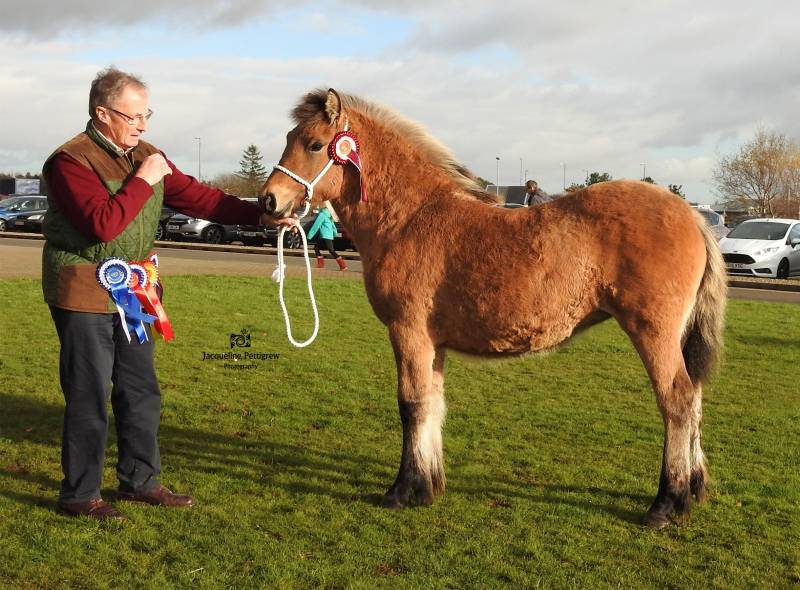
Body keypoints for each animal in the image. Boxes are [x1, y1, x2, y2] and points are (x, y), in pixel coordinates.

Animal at [260, 86, 724, 528]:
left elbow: (411, 405)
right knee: (695, 397)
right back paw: (693, 490)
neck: (411, 219)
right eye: (288, 138)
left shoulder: (408, 332)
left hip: (653, 331)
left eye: (315, 144)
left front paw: (402, 490)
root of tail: (692, 217)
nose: (269, 201)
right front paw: (429, 487)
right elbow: (433, 402)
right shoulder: (432, 342)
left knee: (677, 400)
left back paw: (666, 503)